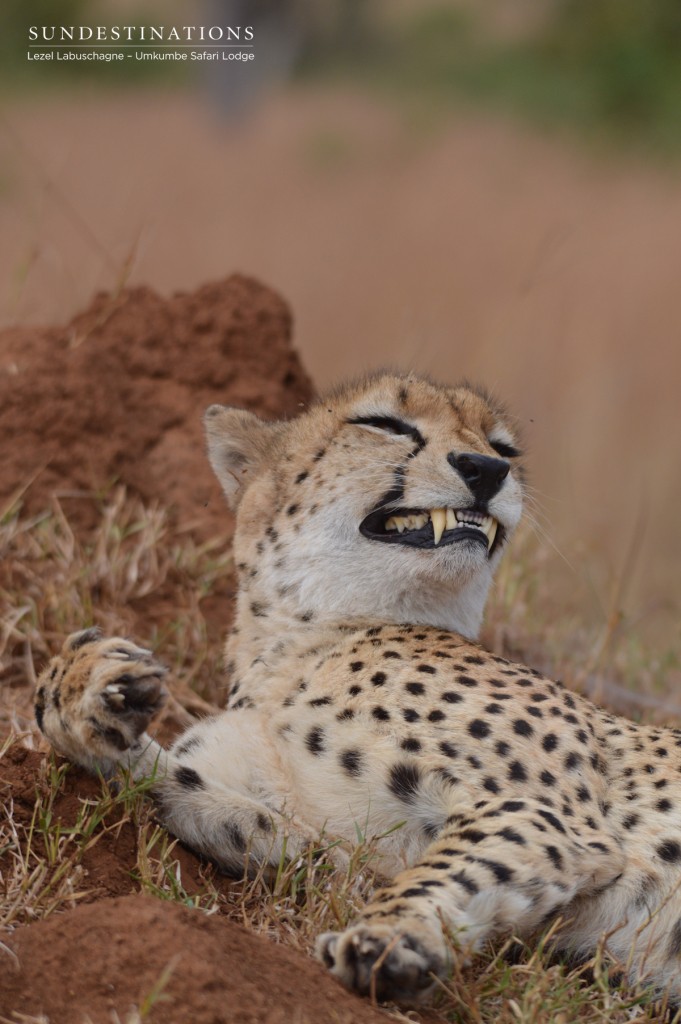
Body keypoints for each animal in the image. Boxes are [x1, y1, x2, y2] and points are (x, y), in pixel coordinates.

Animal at [34, 371, 681, 1005]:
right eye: (385, 424)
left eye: (505, 448)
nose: (485, 468)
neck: (300, 642)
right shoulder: (339, 858)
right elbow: (182, 788)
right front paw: (85, 692)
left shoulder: (552, 817)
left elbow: (453, 865)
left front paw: (393, 938)